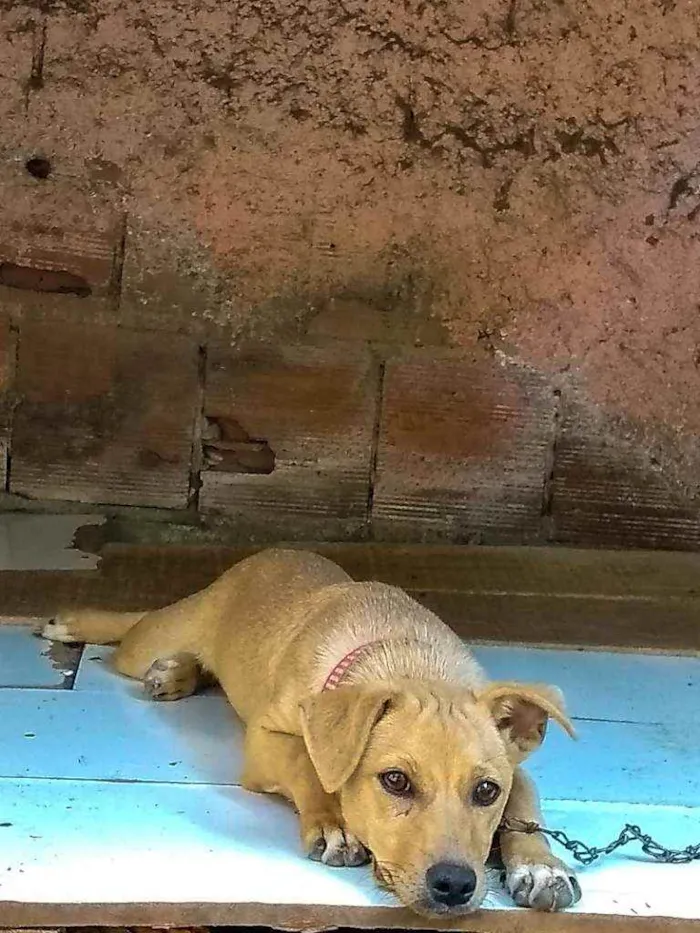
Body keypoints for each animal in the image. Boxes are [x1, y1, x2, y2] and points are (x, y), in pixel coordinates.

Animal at [41, 548, 584, 916]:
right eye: (395, 781)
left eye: (486, 790)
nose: (454, 886)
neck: (409, 660)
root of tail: (265, 555)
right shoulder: (265, 739)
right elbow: (308, 762)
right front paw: (334, 823)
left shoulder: (518, 770)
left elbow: (526, 809)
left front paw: (543, 866)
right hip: (158, 635)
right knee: (135, 627)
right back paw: (78, 626)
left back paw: (177, 671)